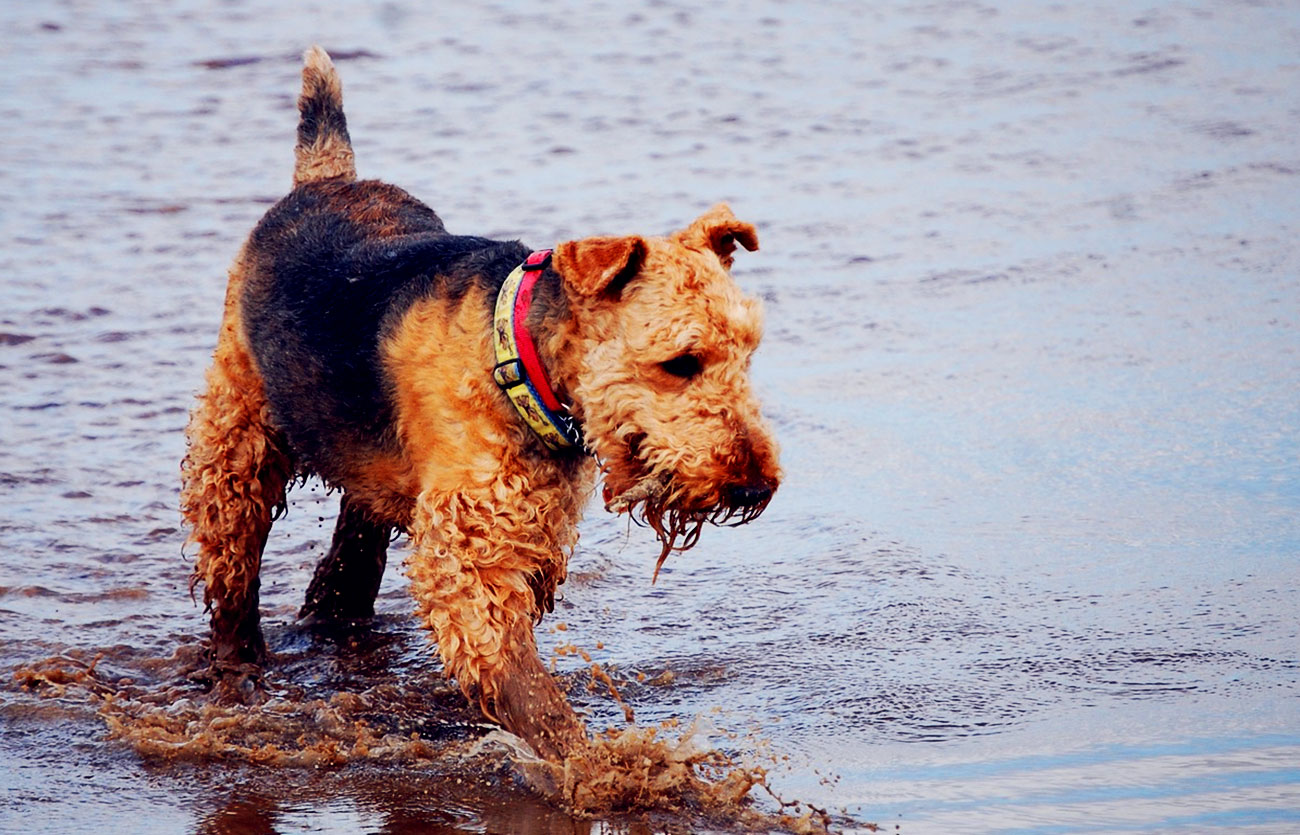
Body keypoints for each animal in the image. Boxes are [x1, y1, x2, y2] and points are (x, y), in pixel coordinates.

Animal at [183, 45, 780, 759]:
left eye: (748, 352)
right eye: (681, 363)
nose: (755, 487)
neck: (520, 362)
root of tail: (322, 179)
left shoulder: (529, 537)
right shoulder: (469, 553)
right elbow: (531, 695)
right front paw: (593, 767)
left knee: (351, 552)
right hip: (235, 441)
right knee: (233, 577)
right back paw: (239, 674)